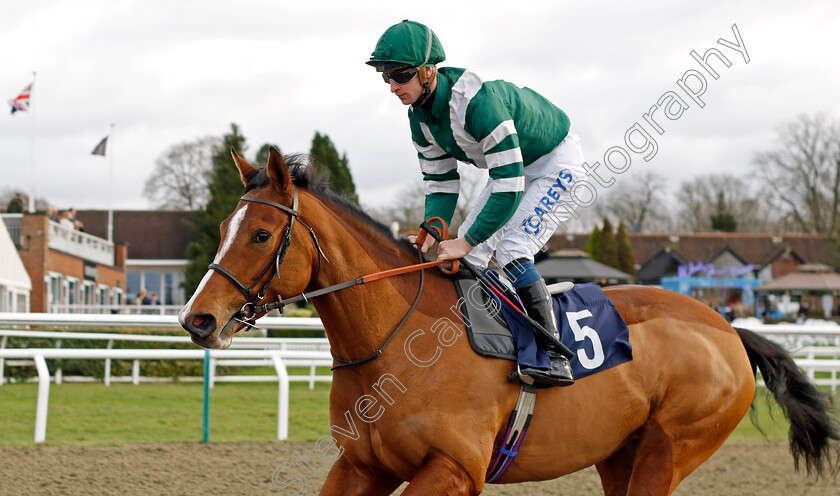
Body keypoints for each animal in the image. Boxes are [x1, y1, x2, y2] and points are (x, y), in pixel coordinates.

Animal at [180, 149, 836, 494]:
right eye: (224, 228)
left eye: (261, 234)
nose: (198, 319)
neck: (397, 344)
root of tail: (727, 328)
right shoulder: (361, 464)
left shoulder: (453, 469)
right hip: (620, 452)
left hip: (671, 447)